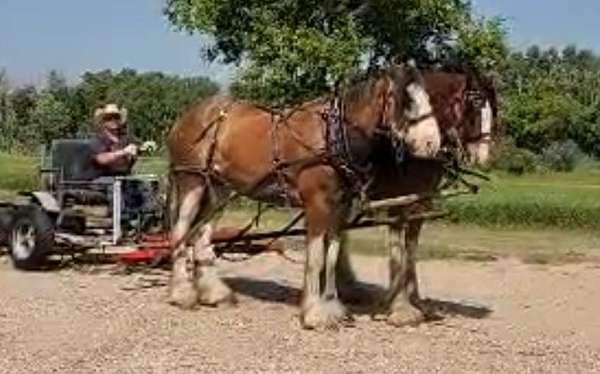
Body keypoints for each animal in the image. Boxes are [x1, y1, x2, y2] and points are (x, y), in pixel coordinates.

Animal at [166, 64, 442, 330]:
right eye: (407, 100)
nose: (432, 144)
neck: (332, 136)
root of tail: (187, 117)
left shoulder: (340, 208)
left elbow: (332, 256)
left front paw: (332, 307)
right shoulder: (317, 204)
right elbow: (317, 257)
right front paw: (313, 313)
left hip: (219, 190)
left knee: (202, 235)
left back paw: (215, 294)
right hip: (191, 181)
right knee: (181, 231)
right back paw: (181, 294)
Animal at [336, 67, 500, 328]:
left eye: (493, 109)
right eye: (474, 105)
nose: (483, 156)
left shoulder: (420, 205)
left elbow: (411, 250)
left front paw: (416, 302)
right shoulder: (397, 204)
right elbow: (398, 251)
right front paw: (398, 306)